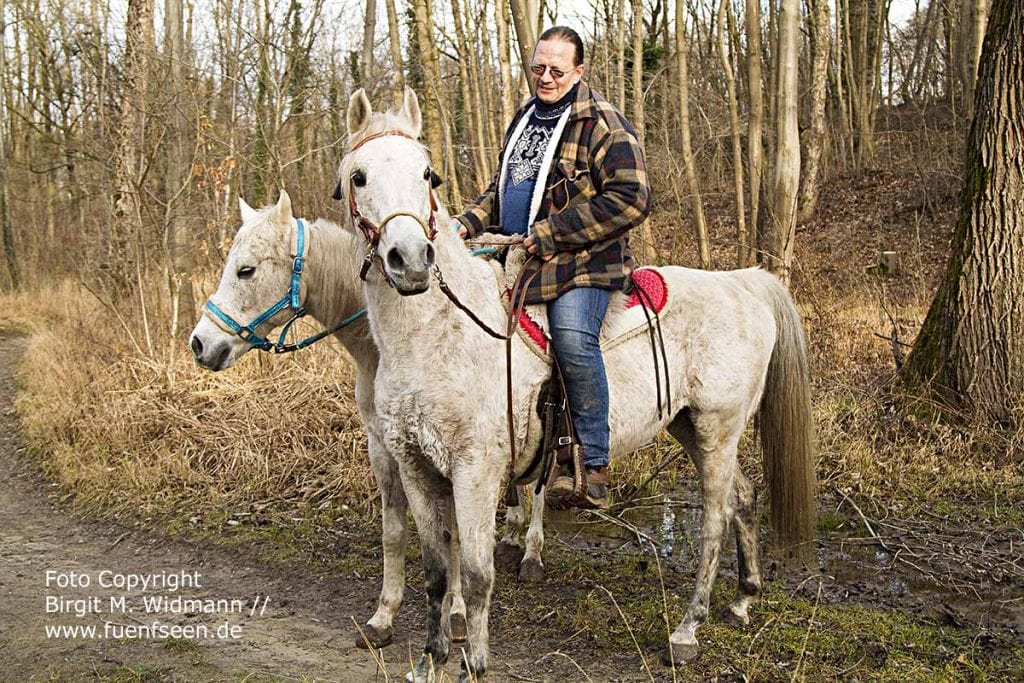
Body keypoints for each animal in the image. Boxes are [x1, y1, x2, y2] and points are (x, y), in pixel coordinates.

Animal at [339, 88, 819, 679]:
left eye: (427, 174)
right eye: (359, 176)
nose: (410, 260)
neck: (440, 334)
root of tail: (744, 282)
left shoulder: (475, 470)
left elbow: (474, 575)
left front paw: (475, 662)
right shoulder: (416, 466)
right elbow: (434, 573)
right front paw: (431, 661)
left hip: (718, 430)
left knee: (715, 520)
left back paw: (687, 630)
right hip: (690, 427)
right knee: (744, 498)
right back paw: (742, 600)